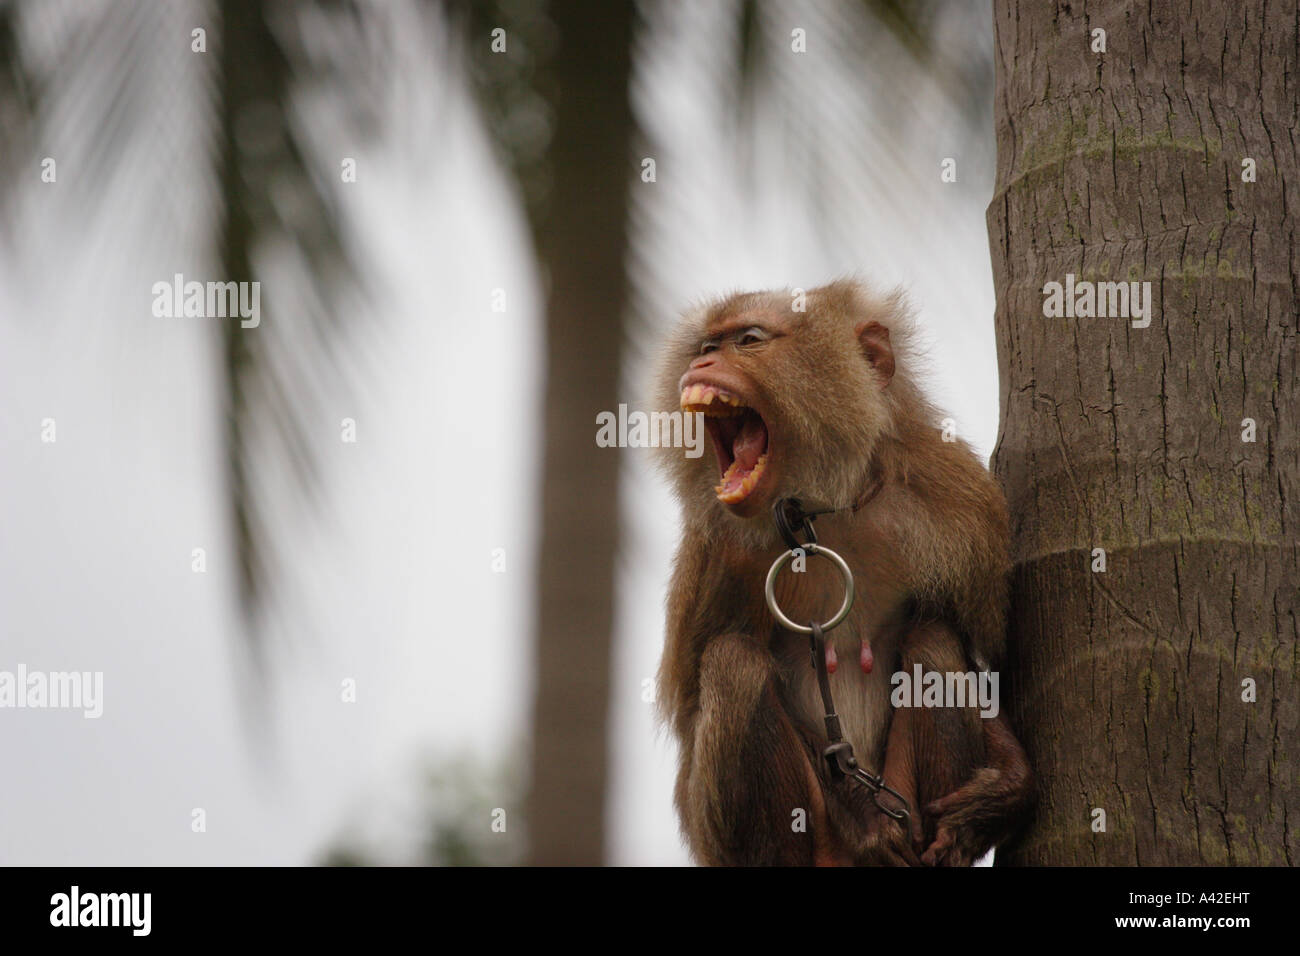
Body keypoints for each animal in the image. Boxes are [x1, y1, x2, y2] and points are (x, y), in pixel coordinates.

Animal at [655, 278, 1029, 868]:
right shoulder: (716, 546)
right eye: (706, 345)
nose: (702, 362)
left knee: (933, 641)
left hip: (910, 807)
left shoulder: (960, 502)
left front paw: (1008, 788)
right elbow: (692, 709)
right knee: (734, 664)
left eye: (749, 339)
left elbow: (976, 654)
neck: (822, 507)